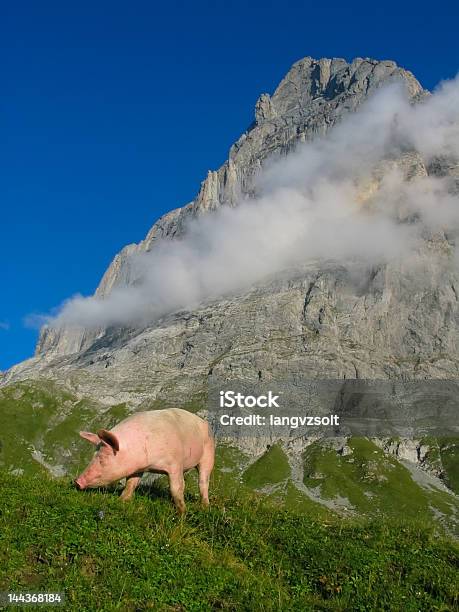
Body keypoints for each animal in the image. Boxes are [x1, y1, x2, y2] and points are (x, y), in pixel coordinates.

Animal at [74, 408, 216, 512]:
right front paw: (121, 501)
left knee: (203, 481)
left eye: (102, 459)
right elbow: (131, 484)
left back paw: (205, 507)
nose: (77, 482)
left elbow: (176, 488)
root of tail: (204, 422)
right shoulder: (137, 468)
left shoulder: (175, 463)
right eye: (93, 456)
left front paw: (182, 513)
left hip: (208, 455)